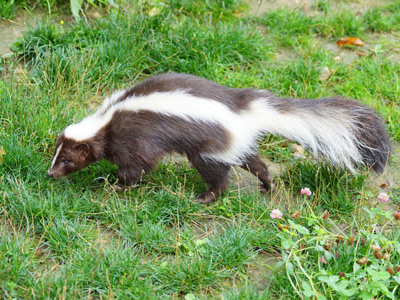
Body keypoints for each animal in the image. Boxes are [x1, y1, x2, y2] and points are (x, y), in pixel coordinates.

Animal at [47, 73, 390, 204]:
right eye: (56, 155)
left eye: (66, 160)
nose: (50, 174)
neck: (104, 121)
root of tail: (245, 108)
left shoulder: (134, 137)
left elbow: (138, 166)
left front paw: (116, 185)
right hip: (235, 141)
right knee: (255, 162)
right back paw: (267, 185)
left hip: (210, 146)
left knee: (218, 175)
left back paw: (205, 197)